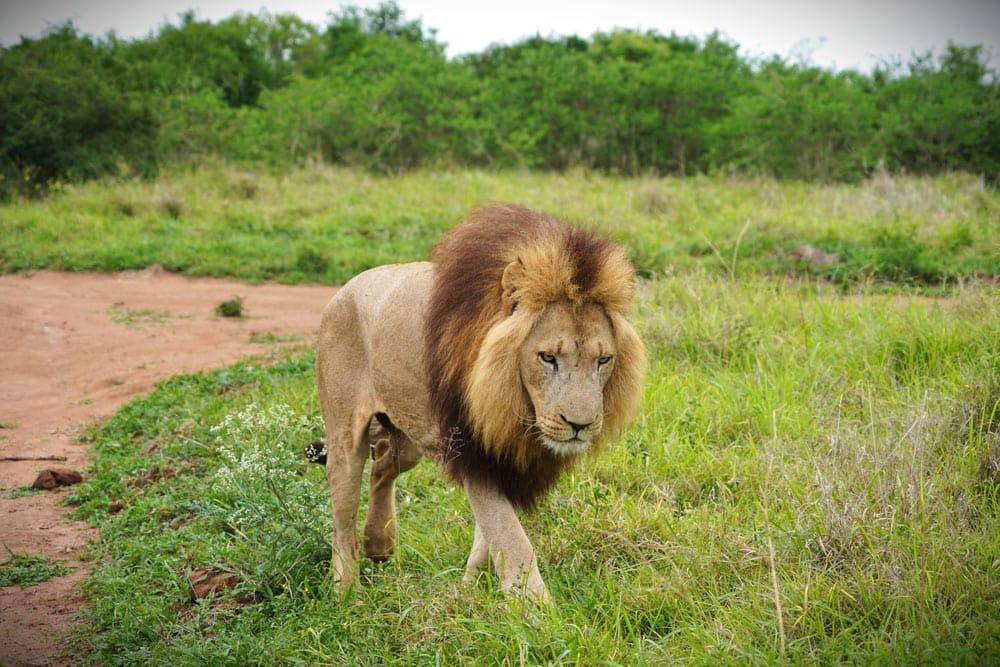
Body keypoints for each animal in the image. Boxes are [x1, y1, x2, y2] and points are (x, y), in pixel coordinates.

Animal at [311, 203, 645, 601]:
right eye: (547, 357)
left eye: (603, 360)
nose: (579, 425)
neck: (513, 405)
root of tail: (345, 288)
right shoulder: (474, 452)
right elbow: (510, 537)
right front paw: (536, 607)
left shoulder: (507, 455)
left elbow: (489, 535)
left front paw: (472, 586)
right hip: (346, 434)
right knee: (342, 517)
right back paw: (345, 591)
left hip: (410, 435)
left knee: (384, 463)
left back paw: (379, 544)